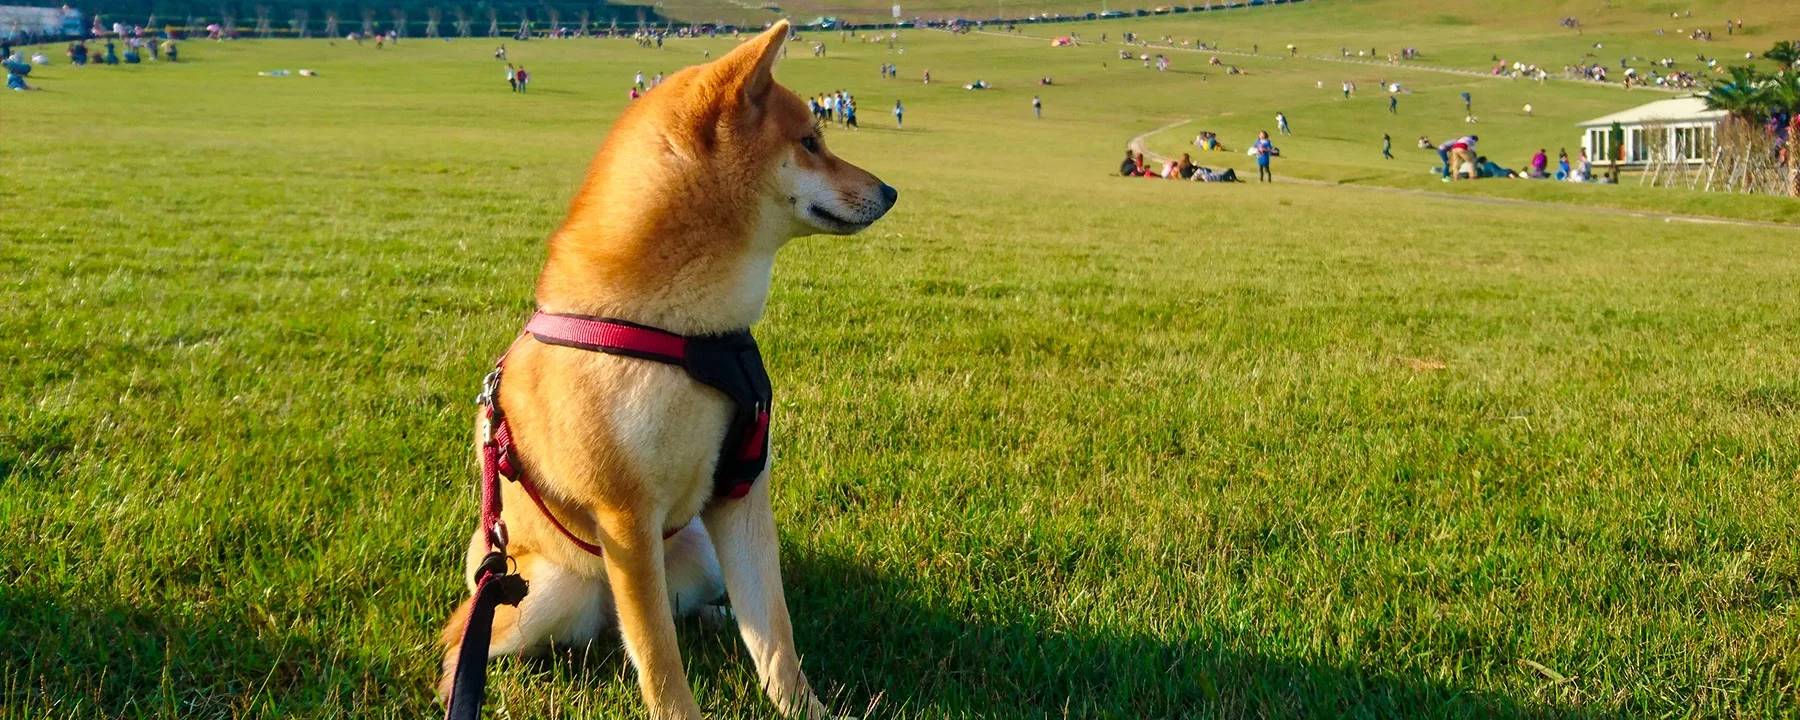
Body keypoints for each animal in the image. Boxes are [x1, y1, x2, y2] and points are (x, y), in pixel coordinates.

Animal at [437, 19, 900, 716]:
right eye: (810, 142)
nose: (891, 191)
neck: (690, 334)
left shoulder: (741, 493)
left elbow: (774, 632)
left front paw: (805, 707)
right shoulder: (626, 518)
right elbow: (658, 659)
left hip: (697, 548)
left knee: (685, 612)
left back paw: (713, 617)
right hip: (541, 589)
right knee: (481, 639)